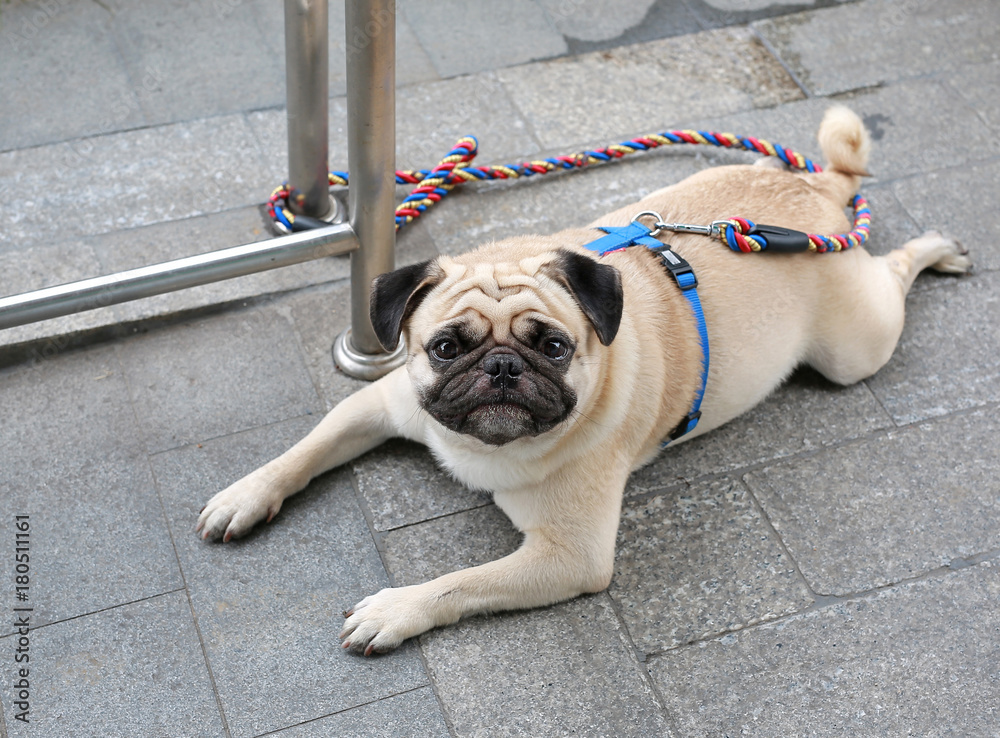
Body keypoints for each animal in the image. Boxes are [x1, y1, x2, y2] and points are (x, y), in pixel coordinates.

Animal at [193, 106, 968, 652]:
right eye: (445, 348)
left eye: (553, 347)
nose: (502, 366)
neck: (483, 450)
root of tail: (813, 190)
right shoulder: (381, 404)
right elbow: (304, 449)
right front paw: (245, 494)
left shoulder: (568, 555)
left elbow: (459, 584)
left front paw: (396, 607)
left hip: (855, 347)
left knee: (893, 272)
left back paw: (936, 247)